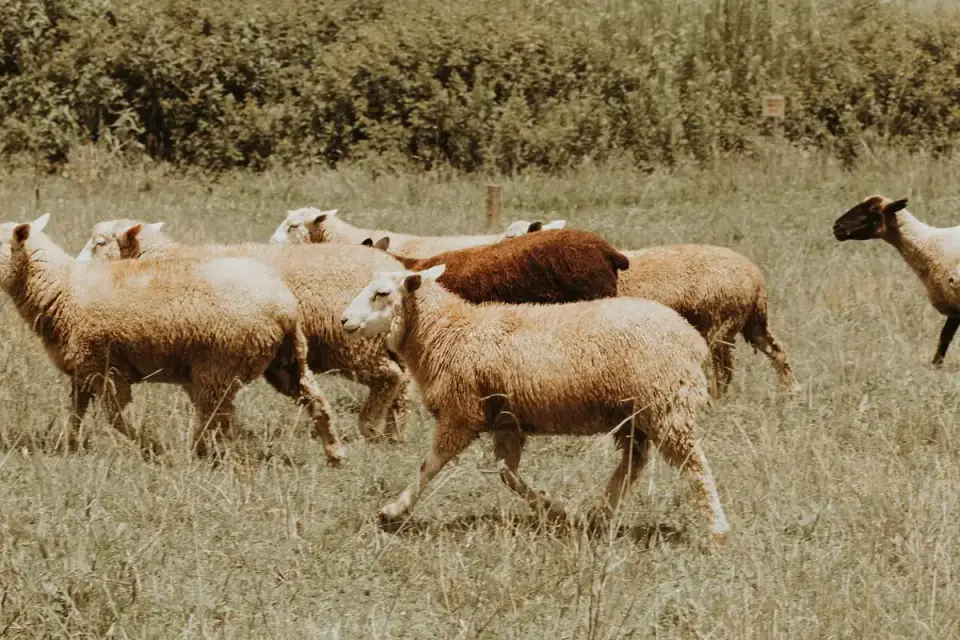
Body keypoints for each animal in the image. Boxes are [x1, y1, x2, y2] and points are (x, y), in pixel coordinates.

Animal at [0, 214, 343, 463]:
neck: (63, 288)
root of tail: (285, 306)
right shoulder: (82, 370)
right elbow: (74, 413)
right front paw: (68, 448)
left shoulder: (106, 369)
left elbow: (118, 418)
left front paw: (152, 447)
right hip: (286, 360)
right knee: (314, 400)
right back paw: (334, 453)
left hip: (219, 365)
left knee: (214, 418)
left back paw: (197, 455)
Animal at [77, 218, 413, 442]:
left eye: (100, 243)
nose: (76, 269)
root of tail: (396, 269)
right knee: (405, 384)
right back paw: (394, 433)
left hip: (355, 342)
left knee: (389, 377)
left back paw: (370, 427)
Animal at [339, 264, 731, 544]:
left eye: (381, 293)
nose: (343, 320)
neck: (448, 332)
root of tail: (691, 339)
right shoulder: (507, 421)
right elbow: (507, 473)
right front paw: (555, 510)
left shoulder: (462, 413)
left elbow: (428, 466)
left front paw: (393, 510)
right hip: (636, 412)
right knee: (634, 462)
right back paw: (598, 515)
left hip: (665, 406)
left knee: (695, 466)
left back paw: (717, 530)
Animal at [615, 244, 798, 398]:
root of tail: (756, 280)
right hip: (753, 323)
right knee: (777, 350)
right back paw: (790, 392)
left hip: (719, 326)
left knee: (722, 370)